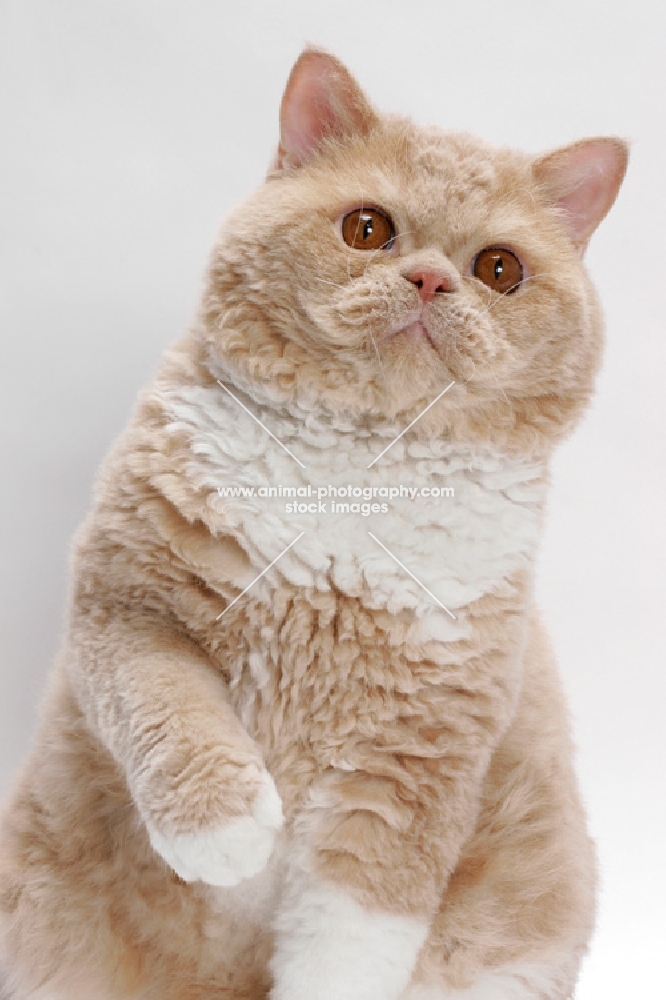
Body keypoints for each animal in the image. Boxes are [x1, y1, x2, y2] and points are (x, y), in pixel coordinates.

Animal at [0, 47, 624, 1000]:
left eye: (499, 269)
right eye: (367, 229)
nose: (431, 278)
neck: (351, 477)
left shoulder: (416, 758)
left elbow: (349, 941)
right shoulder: (126, 611)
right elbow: (168, 713)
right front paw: (225, 833)